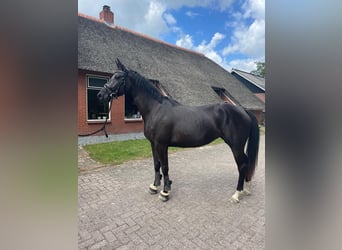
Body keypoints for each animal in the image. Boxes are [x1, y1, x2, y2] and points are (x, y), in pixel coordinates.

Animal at [97, 59, 260, 203]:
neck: (156, 109)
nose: (100, 95)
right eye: (112, 75)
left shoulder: (162, 144)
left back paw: (237, 194)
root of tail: (243, 110)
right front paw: (155, 186)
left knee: (242, 165)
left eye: (118, 77)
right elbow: (156, 165)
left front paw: (165, 192)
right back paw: (247, 188)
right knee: (246, 163)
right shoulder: (153, 144)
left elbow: (165, 167)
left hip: (236, 146)